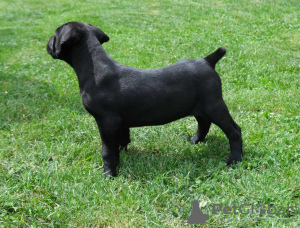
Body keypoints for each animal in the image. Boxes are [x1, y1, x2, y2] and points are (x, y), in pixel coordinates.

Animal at [47, 21, 244, 176]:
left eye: (55, 35)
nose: (48, 42)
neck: (94, 67)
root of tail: (207, 61)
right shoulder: (119, 122)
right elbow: (121, 140)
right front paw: (121, 157)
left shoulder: (106, 121)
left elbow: (107, 150)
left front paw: (109, 174)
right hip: (199, 106)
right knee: (204, 123)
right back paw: (196, 141)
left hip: (214, 106)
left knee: (234, 131)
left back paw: (235, 159)